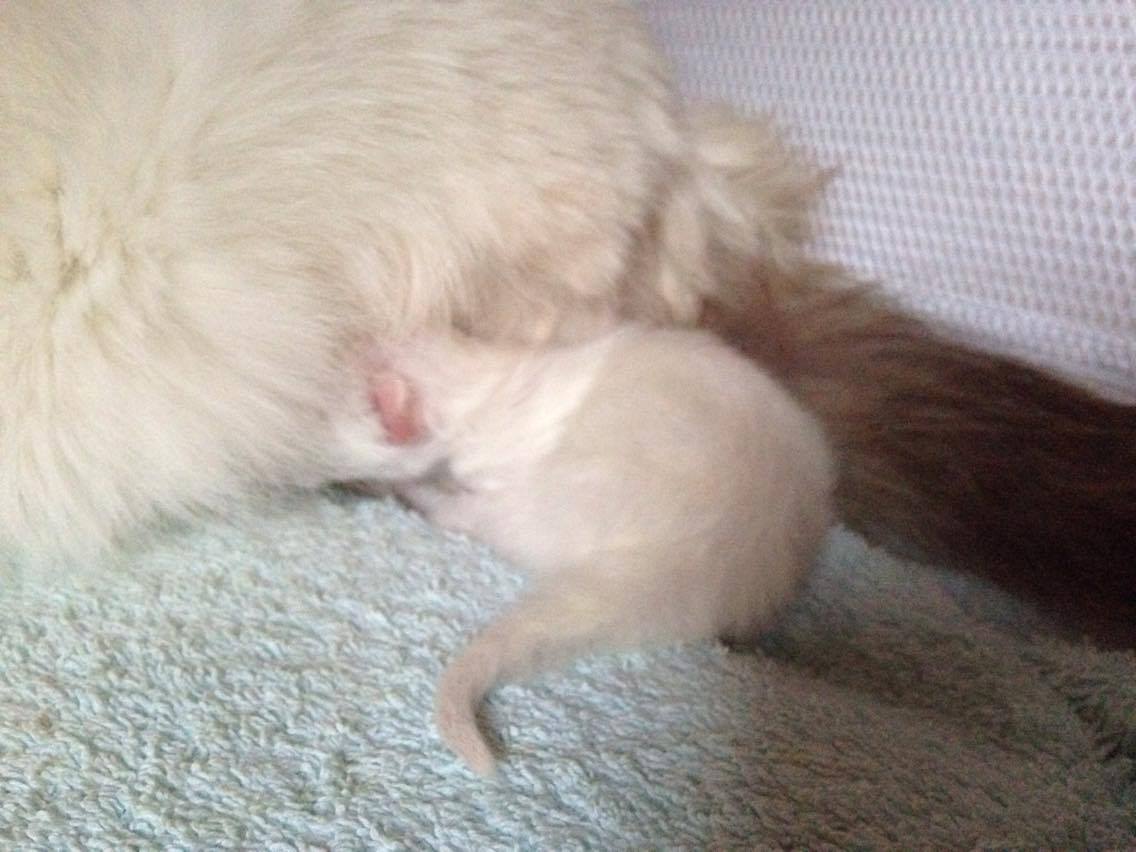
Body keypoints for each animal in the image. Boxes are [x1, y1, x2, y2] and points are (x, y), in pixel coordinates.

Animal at [340, 325, 835, 775]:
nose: (363, 343)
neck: (485, 380)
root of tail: (702, 556)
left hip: (538, 504)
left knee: (473, 518)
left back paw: (412, 496)